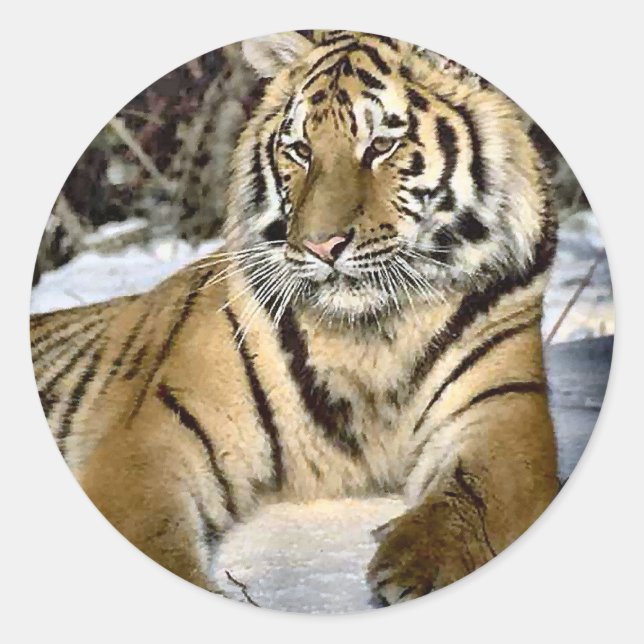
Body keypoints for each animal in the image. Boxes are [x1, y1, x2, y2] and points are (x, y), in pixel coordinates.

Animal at [30, 30, 559, 606]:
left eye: (381, 146)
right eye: (302, 151)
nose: (321, 246)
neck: (370, 334)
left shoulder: (502, 414)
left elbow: (474, 500)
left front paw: (418, 569)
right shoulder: (152, 441)